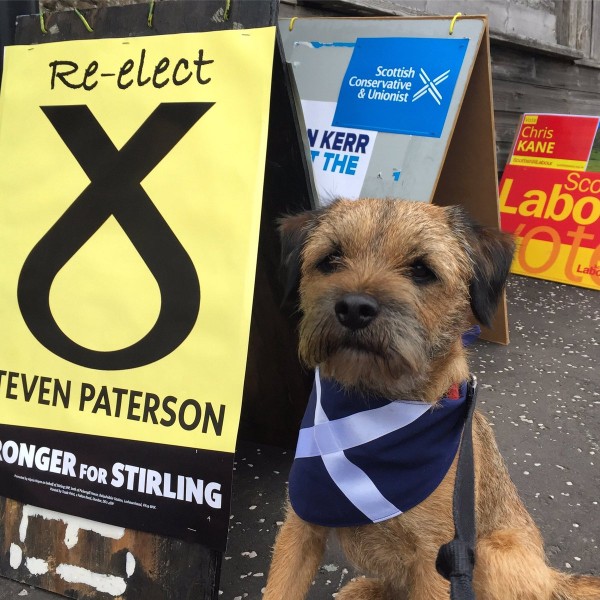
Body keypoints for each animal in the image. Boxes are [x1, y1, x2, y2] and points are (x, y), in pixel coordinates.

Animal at [264, 199, 600, 596]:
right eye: (331, 259)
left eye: (422, 270)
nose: (354, 308)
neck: (371, 406)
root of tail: (554, 578)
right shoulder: (299, 527)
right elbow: (280, 587)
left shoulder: (436, 558)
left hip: (488, 555)